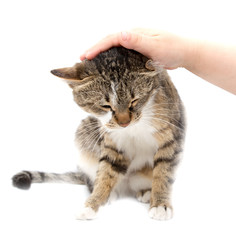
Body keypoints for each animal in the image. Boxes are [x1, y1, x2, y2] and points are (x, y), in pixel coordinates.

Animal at [12, 46, 186, 220]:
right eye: (105, 106)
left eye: (134, 101)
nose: (124, 123)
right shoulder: (112, 142)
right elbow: (106, 173)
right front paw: (92, 204)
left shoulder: (173, 136)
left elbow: (164, 172)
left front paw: (161, 204)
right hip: (84, 132)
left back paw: (146, 191)